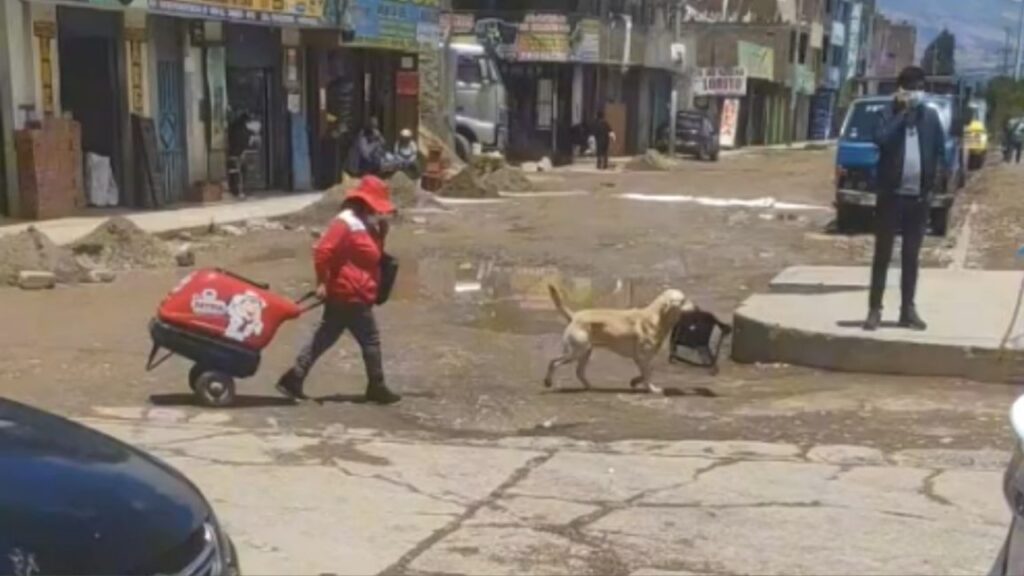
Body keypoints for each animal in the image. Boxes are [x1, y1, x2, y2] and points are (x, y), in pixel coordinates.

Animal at [544, 284, 696, 391]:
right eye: (683, 300)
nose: (697, 307)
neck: (658, 318)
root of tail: (575, 315)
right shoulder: (642, 357)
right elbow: (648, 374)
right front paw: (652, 389)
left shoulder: (641, 358)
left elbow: (646, 372)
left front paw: (635, 381)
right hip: (575, 352)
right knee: (553, 362)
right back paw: (548, 381)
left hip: (585, 352)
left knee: (579, 372)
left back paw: (589, 386)